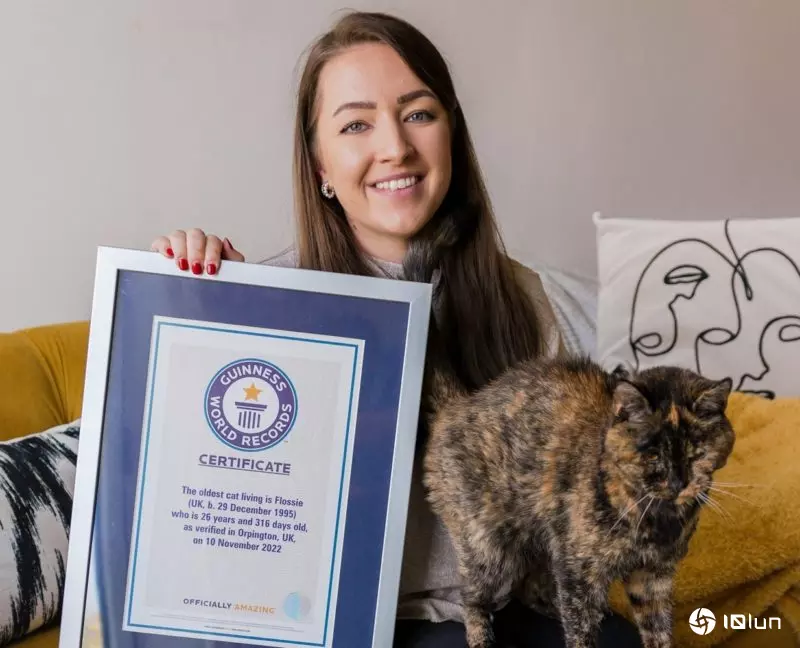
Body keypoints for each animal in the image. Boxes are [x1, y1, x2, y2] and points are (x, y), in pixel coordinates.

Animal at [421, 355, 735, 648]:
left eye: (698, 453)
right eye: (652, 454)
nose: (679, 483)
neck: (655, 520)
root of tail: (457, 406)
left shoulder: (653, 576)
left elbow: (657, 629)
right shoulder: (578, 571)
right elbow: (581, 630)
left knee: (528, 586)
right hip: (489, 549)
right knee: (471, 598)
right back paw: (482, 638)